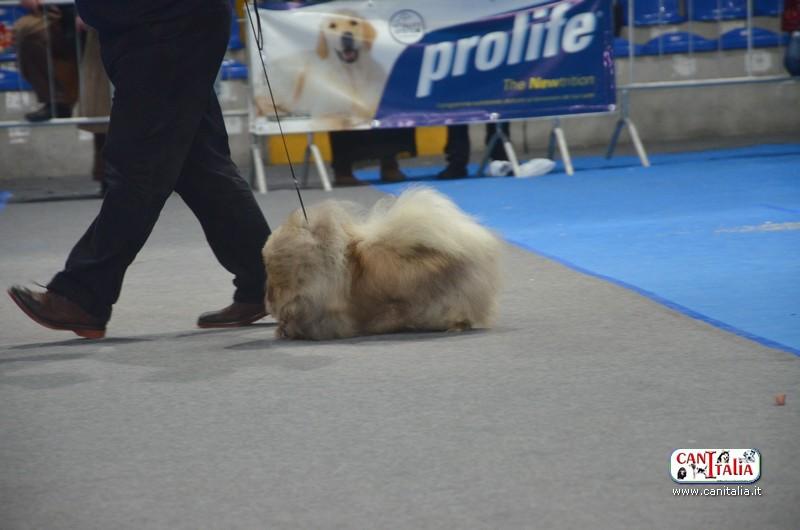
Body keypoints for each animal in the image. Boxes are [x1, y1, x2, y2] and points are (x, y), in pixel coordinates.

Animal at [257, 9, 387, 128]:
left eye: (354, 22)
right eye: (332, 26)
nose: (347, 36)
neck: (351, 74)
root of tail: (267, 67)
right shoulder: (325, 112)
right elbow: (340, 122)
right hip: (288, 85)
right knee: (260, 99)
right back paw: (276, 112)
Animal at [263, 188, 502, 340]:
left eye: (280, 274)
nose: (269, 295)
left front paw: (289, 331)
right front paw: (282, 329)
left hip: (447, 298)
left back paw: (454, 327)